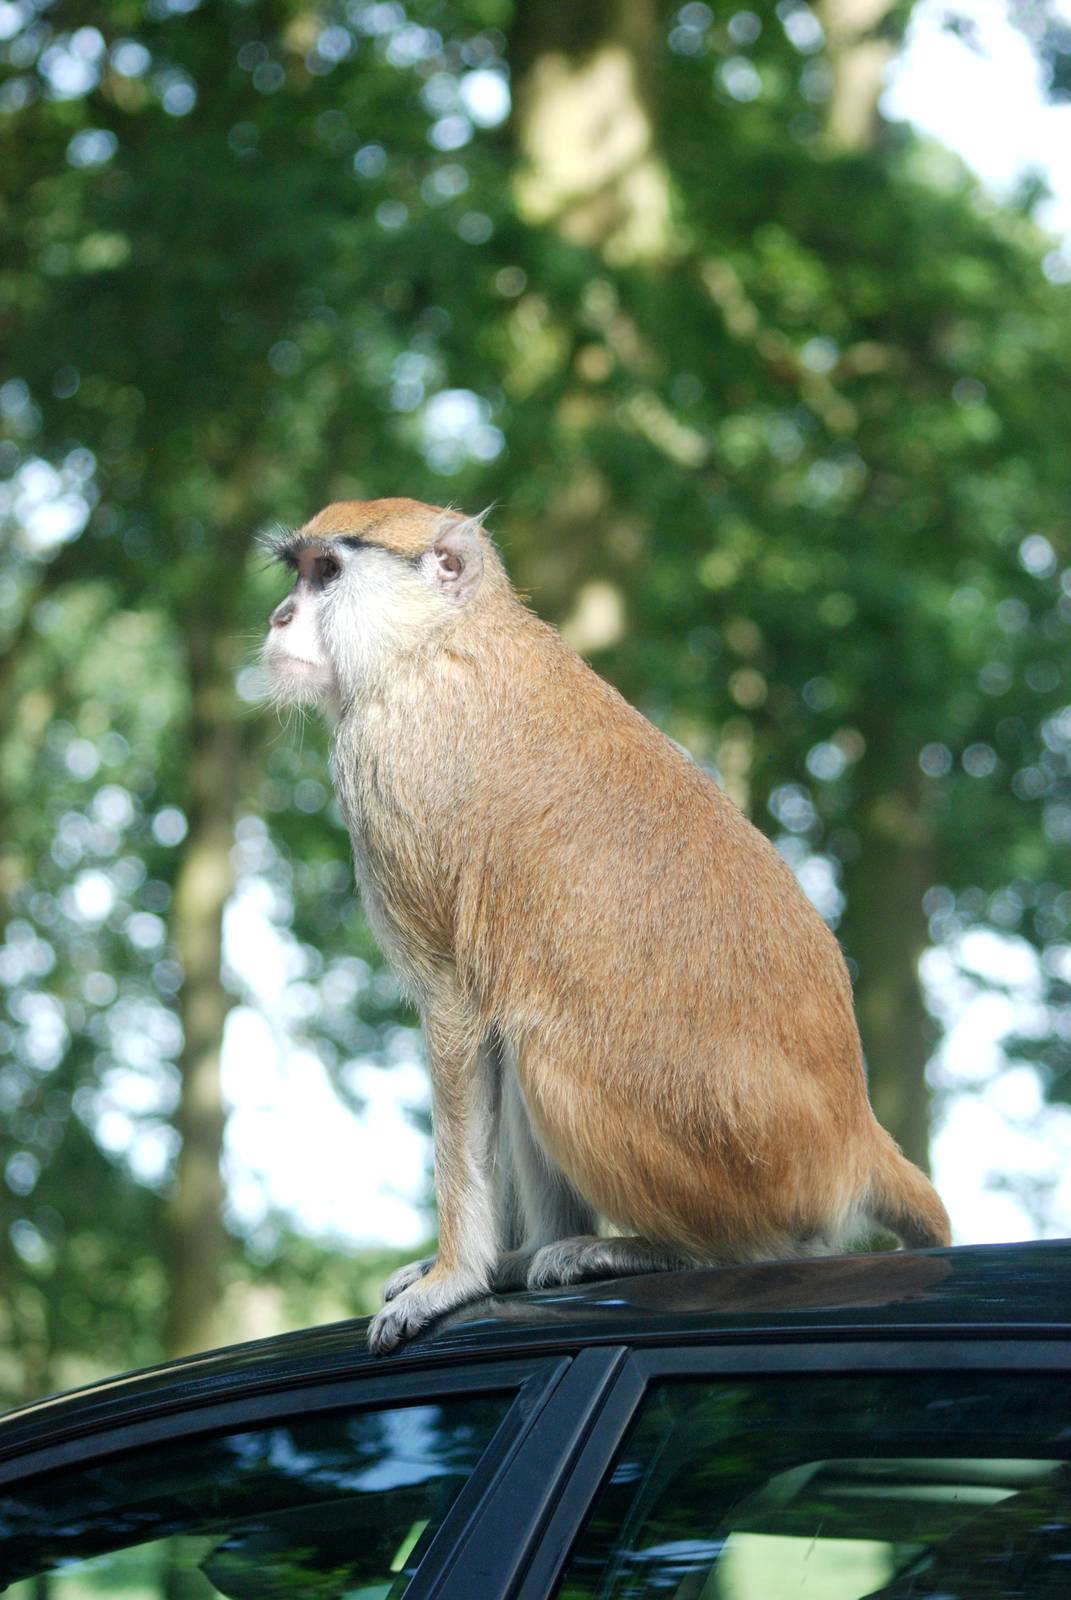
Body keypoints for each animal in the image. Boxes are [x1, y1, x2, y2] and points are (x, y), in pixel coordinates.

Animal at [260, 497, 951, 1356]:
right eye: (296, 573)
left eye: (327, 573)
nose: (279, 617)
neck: (436, 639)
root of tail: (853, 1134)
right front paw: (482, 1265)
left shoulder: (387, 772)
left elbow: (457, 1013)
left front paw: (453, 1276)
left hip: (732, 1159)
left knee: (538, 1045)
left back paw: (660, 1251)